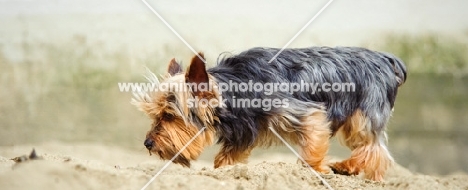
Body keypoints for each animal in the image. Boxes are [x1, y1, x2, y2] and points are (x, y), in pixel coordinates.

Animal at [131, 46, 406, 181]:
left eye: (169, 115)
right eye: (155, 115)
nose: (147, 143)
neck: (236, 89)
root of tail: (385, 58)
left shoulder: (304, 112)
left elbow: (312, 144)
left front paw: (316, 169)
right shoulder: (244, 128)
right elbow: (226, 159)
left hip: (364, 112)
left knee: (374, 148)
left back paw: (349, 167)